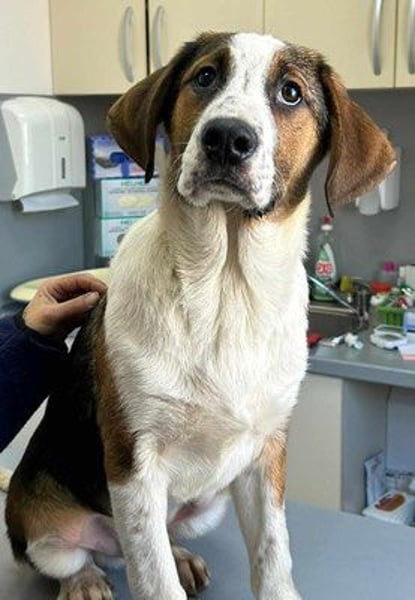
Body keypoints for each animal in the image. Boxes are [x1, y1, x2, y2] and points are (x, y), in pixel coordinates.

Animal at [6, 32, 395, 600]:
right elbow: (155, 581)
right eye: (205, 77)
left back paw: (181, 554)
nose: (227, 138)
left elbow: (274, 556)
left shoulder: (264, 457)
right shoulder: (133, 462)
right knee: (82, 554)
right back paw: (85, 579)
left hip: (208, 504)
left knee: (158, 538)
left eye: (291, 92)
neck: (226, 290)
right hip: (37, 508)